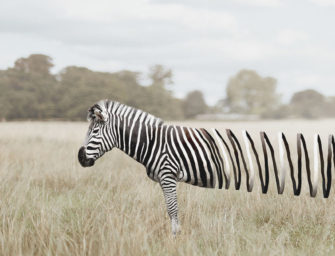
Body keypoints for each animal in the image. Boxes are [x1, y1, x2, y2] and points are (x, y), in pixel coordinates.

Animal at [79, 99, 335, 235]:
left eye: (94, 131)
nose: (81, 159)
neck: (152, 141)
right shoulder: (165, 179)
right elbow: (170, 210)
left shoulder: (168, 175)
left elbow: (172, 209)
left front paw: (175, 238)